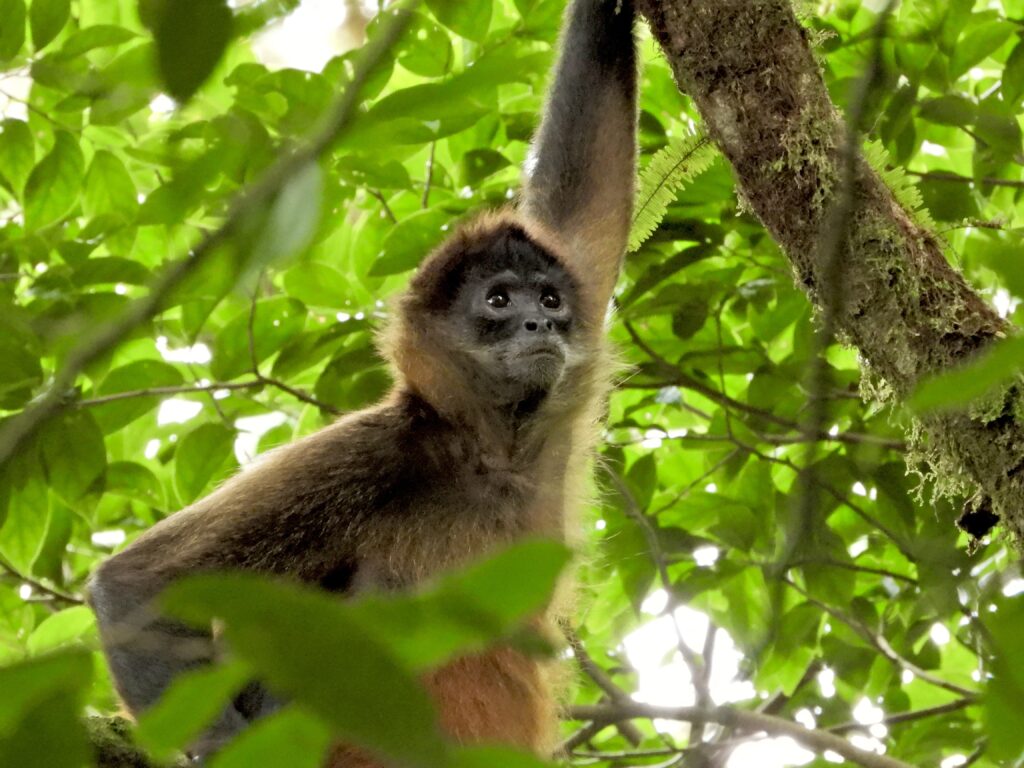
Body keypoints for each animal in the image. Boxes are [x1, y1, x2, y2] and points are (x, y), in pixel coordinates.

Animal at [88, 0, 637, 762]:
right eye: (499, 301)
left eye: (550, 299)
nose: (540, 325)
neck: (487, 455)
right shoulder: (381, 448)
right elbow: (134, 585)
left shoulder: (553, 413)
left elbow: (586, 194)